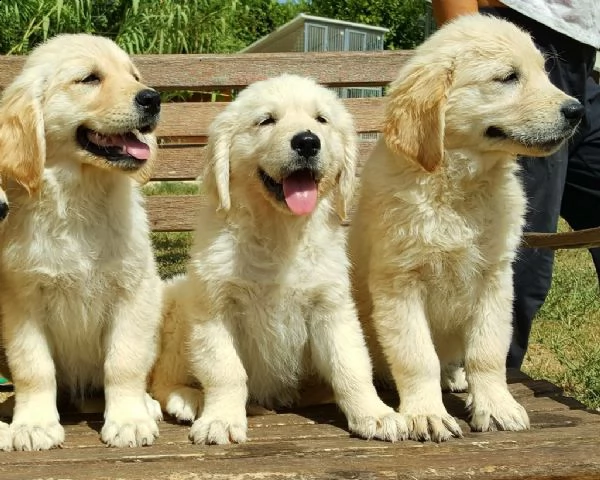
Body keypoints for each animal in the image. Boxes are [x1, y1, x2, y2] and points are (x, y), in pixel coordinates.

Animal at [0, 32, 164, 450]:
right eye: (89, 79)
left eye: (134, 75)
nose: (153, 98)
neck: (81, 197)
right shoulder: (22, 299)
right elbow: (33, 367)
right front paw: (33, 424)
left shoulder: (132, 292)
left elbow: (123, 362)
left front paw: (129, 420)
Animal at [150, 74, 408, 446]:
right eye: (266, 120)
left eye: (321, 119)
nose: (307, 142)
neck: (279, 231)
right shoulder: (215, 308)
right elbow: (225, 370)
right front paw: (221, 419)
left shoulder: (332, 306)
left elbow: (351, 366)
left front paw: (373, 413)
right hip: (180, 303)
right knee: (161, 379)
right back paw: (187, 399)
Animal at [346, 14, 580, 442]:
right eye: (508, 77)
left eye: (543, 72)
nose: (577, 111)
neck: (458, 186)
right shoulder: (400, 282)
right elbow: (417, 356)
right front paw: (426, 413)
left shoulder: (494, 279)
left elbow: (487, 353)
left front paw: (496, 405)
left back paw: (455, 378)